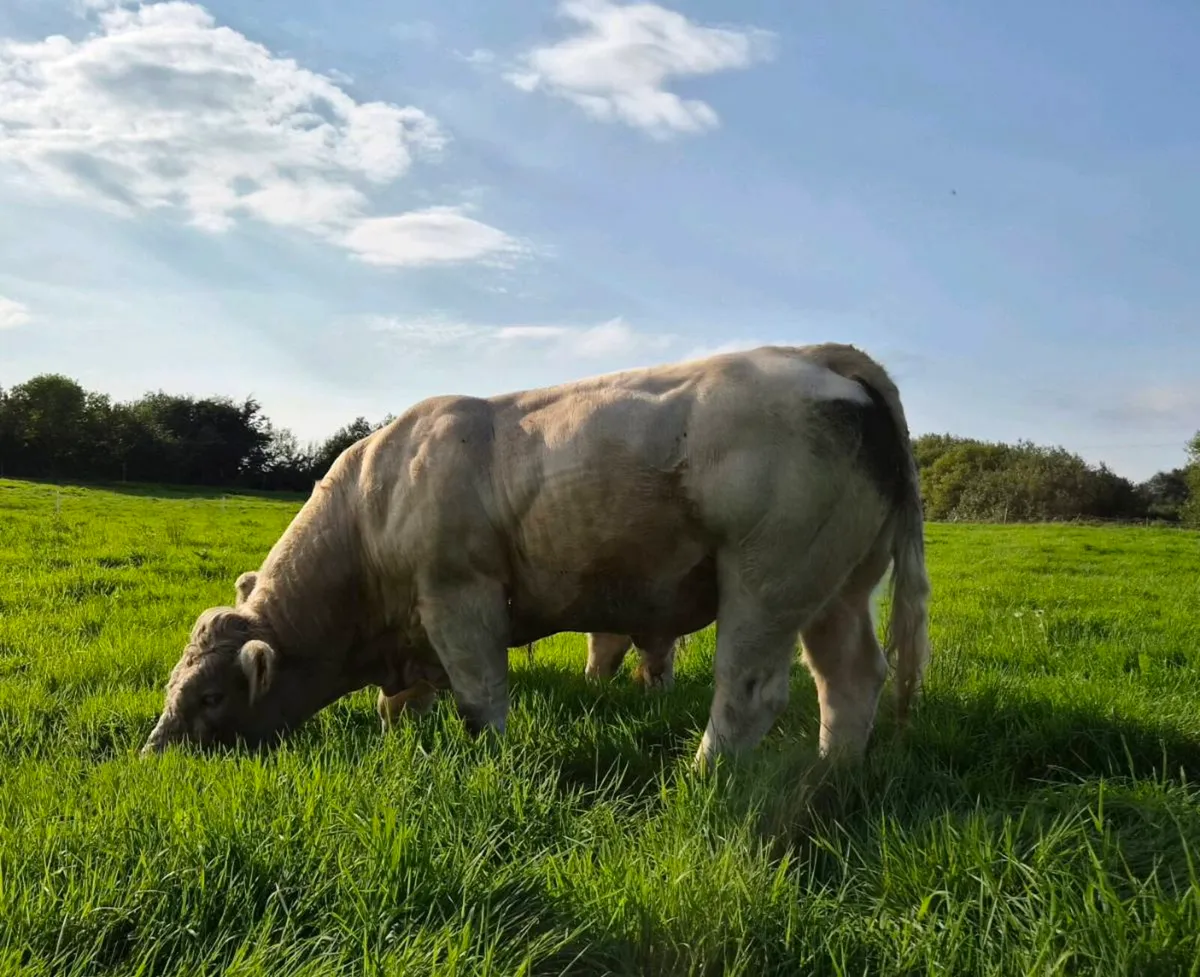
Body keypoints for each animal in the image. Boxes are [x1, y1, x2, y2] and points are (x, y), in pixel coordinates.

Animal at [142, 343, 931, 770]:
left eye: (210, 697)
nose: (154, 756)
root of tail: (818, 359)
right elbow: (399, 706)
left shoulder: (459, 596)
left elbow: (480, 695)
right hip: (837, 588)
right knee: (850, 680)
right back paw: (831, 773)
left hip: (767, 580)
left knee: (750, 692)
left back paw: (703, 778)